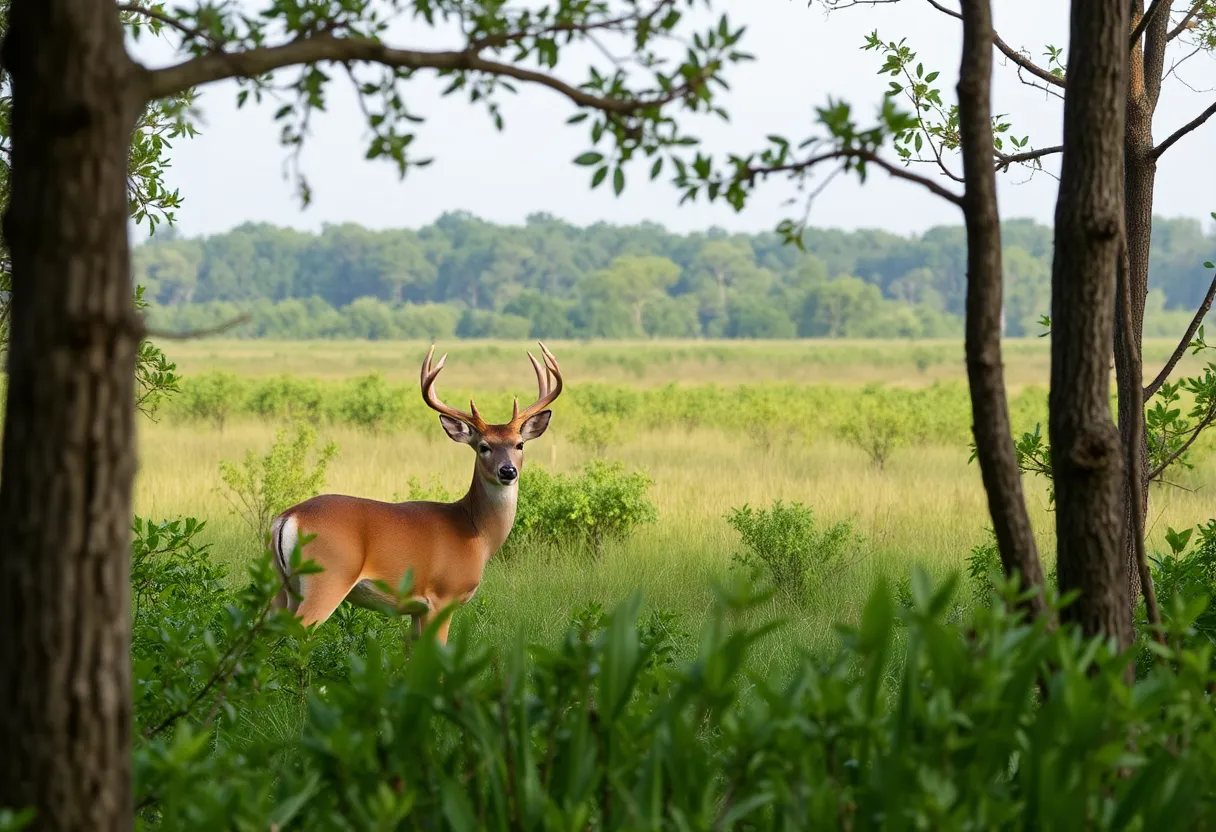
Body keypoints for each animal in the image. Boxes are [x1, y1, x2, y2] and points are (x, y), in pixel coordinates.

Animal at [269, 342, 563, 646]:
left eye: (519, 444)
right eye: (483, 446)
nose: (508, 471)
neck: (476, 532)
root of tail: (288, 517)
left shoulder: (416, 609)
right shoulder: (442, 597)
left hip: (279, 587)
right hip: (327, 578)